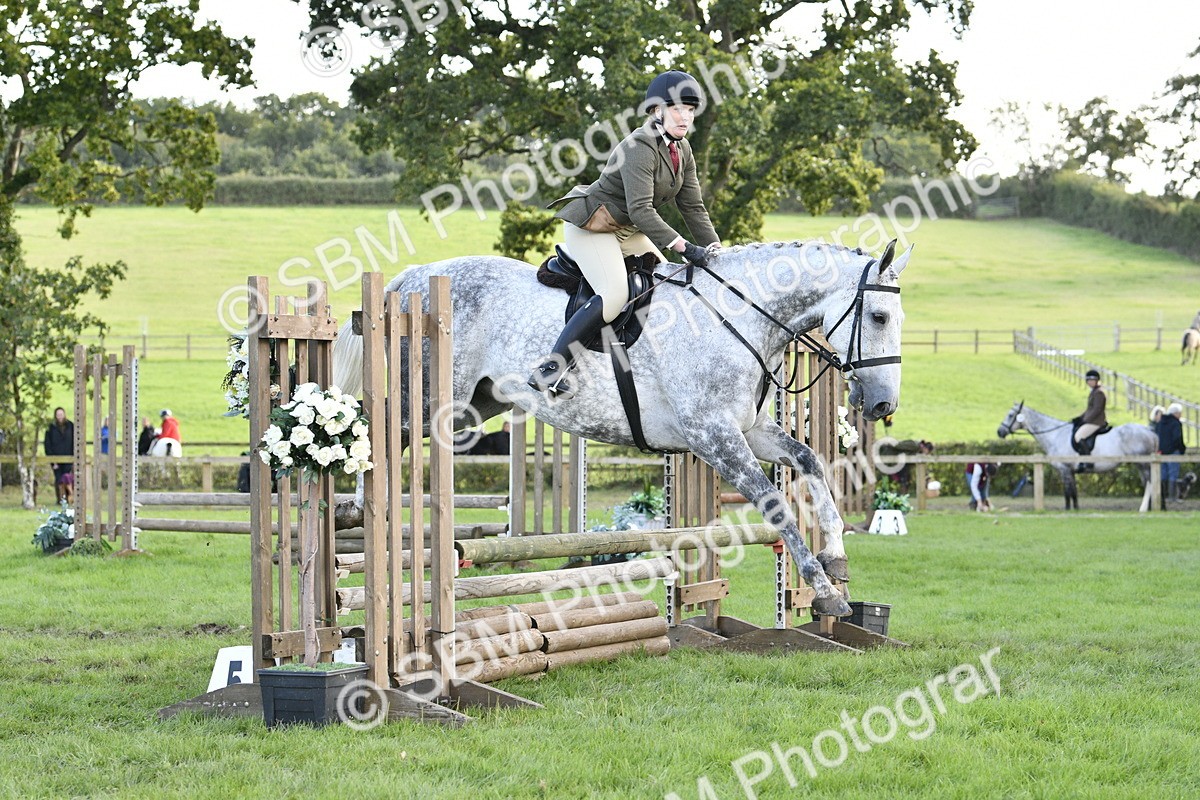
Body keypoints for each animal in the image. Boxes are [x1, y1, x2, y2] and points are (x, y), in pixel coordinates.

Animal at [333, 240, 912, 618]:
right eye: (880, 317)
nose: (882, 403)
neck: (738, 314)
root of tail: (413, 276)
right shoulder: (714, 438)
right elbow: (777, 507)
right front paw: (825, 591)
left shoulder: (749, 432)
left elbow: (811, 462)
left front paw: (837, 558)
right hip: (427, 400)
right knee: (378, 431)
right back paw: (360, 510)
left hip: (473, 405)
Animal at [996, 401, 1157, 511]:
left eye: (1010, 415)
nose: (999, 432)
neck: (1055, 435)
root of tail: (1150, 431)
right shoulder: (1071, 471)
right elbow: (1074, 491)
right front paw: (1076, 509)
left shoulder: (1064, 469)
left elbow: (1067, 492)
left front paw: (1067, 510)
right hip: (1140, 465)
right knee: (1148, 483)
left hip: (1143, 464)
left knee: (1150, 483)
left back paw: (1146, 508)